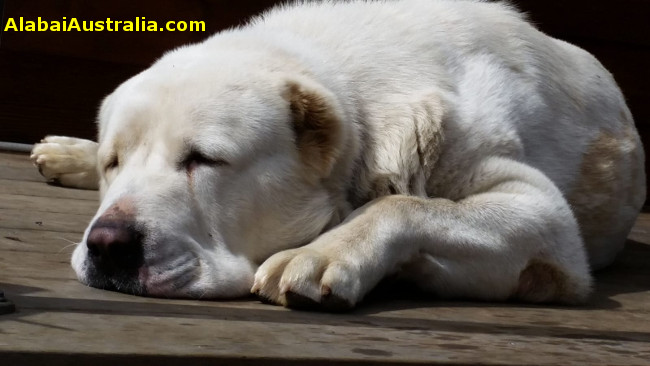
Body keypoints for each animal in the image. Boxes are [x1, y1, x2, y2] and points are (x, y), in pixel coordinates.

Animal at [30, 0, 644, 310]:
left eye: (204, 160)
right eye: (116, 164)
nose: (107, 245)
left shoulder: (547, 223)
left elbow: (405, 205)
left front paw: (325, 252)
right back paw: (63, 153)